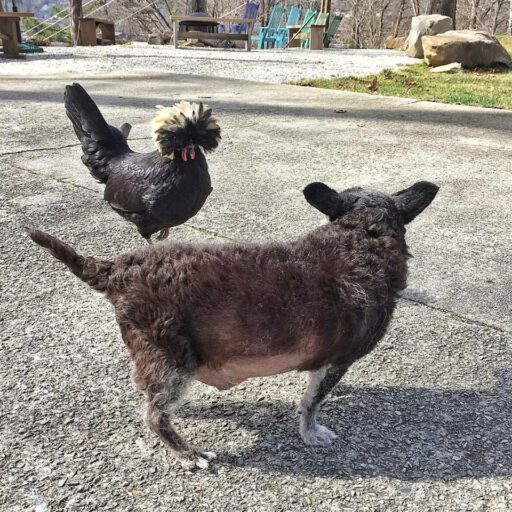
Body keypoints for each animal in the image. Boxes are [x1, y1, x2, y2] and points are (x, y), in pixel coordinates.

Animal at [28, 182, 438, 470]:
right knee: (154, 415)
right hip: (175, 361)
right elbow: (311, 403)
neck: (361, 239)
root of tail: (116, 270)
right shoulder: (340, 359)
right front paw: (311, 432)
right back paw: (187, 453)